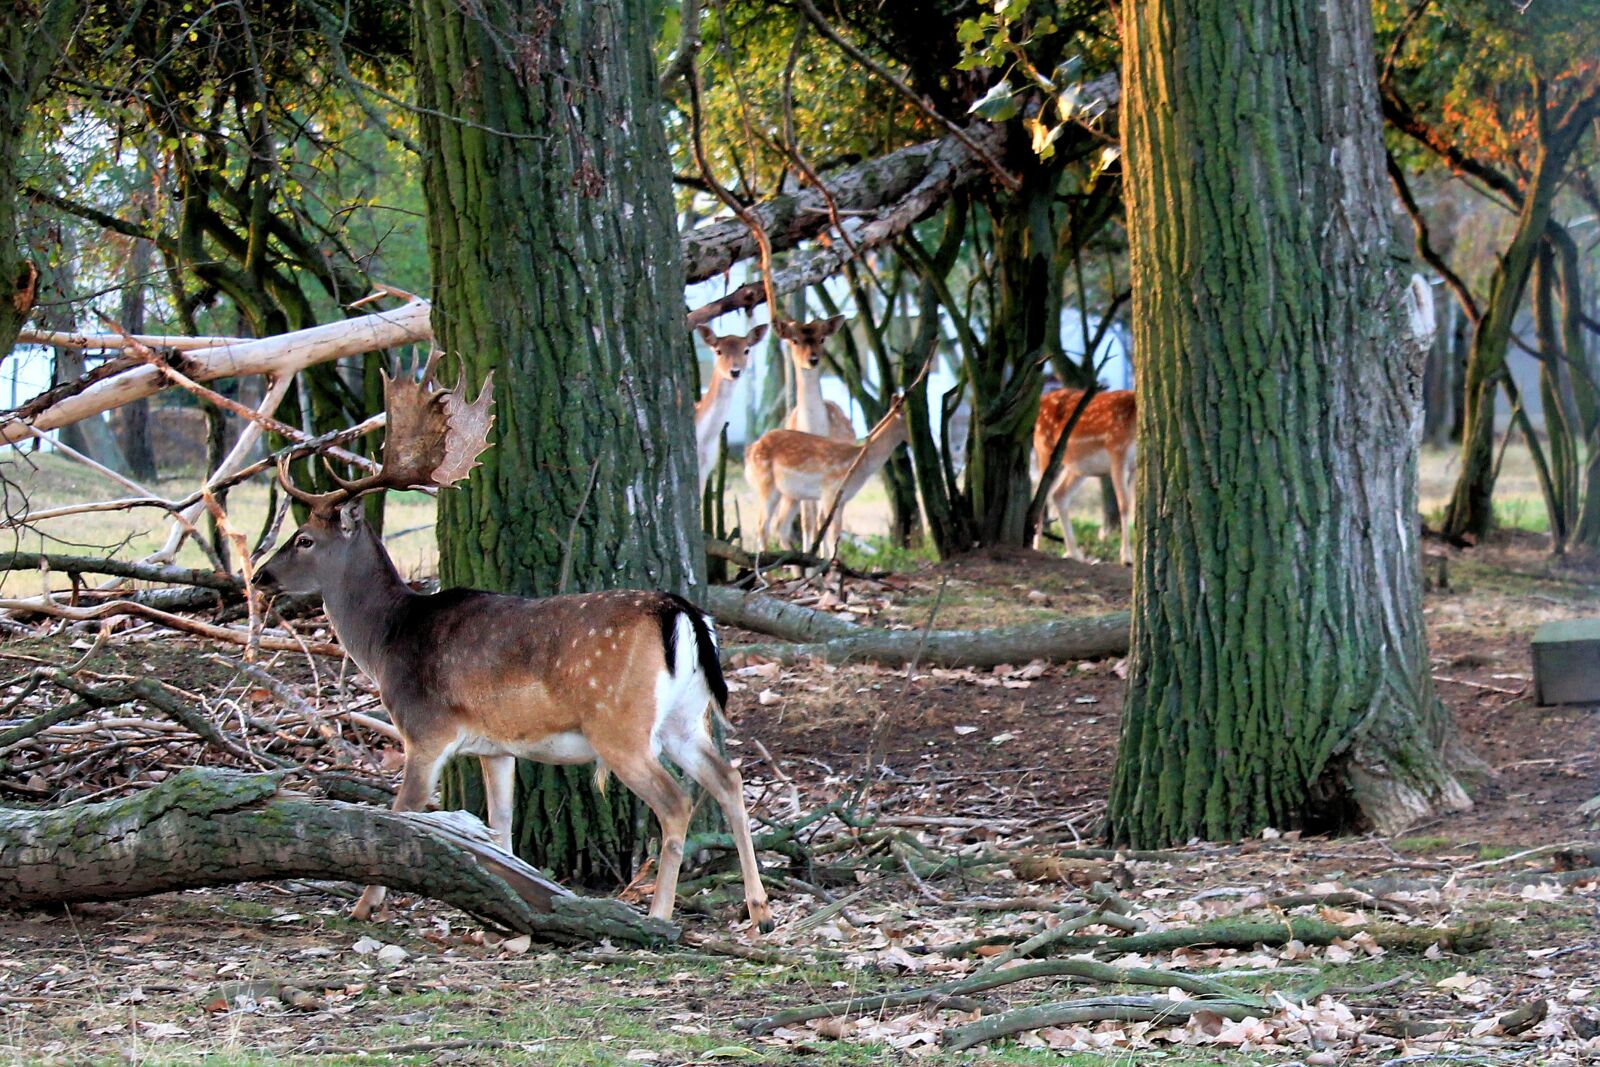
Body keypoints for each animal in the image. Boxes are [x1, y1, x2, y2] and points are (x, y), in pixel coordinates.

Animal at [255, 351, 773, 934]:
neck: (389, 640)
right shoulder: (497, 748)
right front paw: (510, 904)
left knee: (677, 801)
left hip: (619, 723)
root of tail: (680, 612)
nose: (259, 576)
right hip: (685, 717)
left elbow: (403, 812)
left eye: (303, 539)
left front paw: (367, 904)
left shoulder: (425, 729)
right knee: (729, 780)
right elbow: (499, 826)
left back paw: (660, 913)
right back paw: (760, 911)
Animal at [746, 397, 909, 558]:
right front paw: (833, 564)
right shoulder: (830, 492)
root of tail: (750, 452)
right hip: (766, 484)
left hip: (791, 495)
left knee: (781, 527)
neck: (860, 465)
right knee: (762, 526)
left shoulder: (841, 501)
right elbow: (833, 535)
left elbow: (833, 533)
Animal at [1032, 387, 1138, 566]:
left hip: (1078, 468)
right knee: (1041, 494)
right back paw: (1036, 547)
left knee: (1059, 495)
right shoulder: (1117, 451)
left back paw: (1074, 553)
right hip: (1045, 449)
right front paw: (1127, 558)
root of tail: (1042, 399)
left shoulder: (1136, 466)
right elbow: (1124, 504)